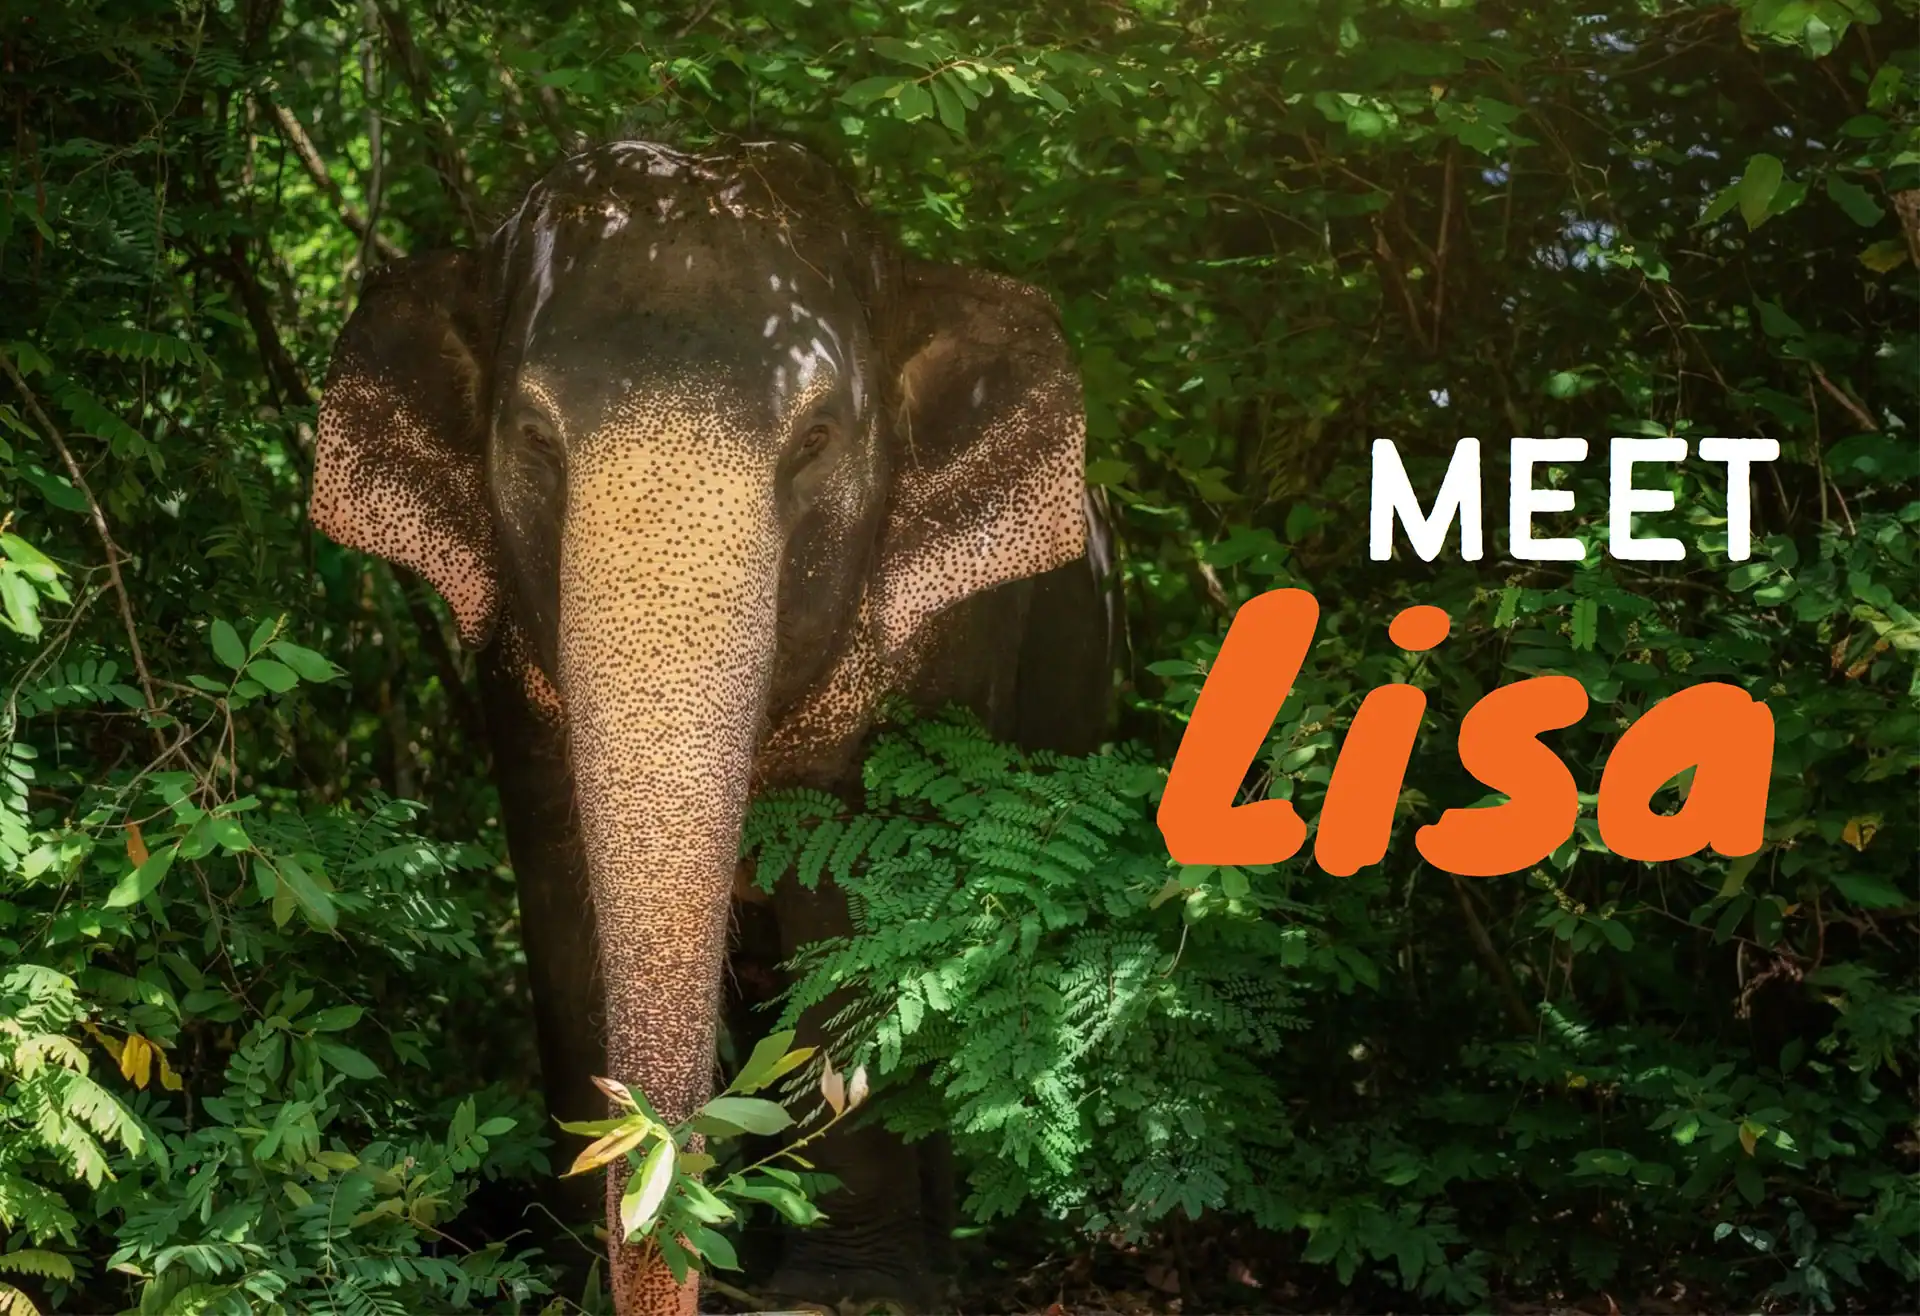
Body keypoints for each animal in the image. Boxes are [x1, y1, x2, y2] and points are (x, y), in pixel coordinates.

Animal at [307, 137, 1114, 1316]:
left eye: (818, 438)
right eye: (533, 440)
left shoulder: (949, 650)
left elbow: (851, 897)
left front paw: (848, 1293)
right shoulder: (513, 677)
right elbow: (558, 896)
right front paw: (565, 1270)